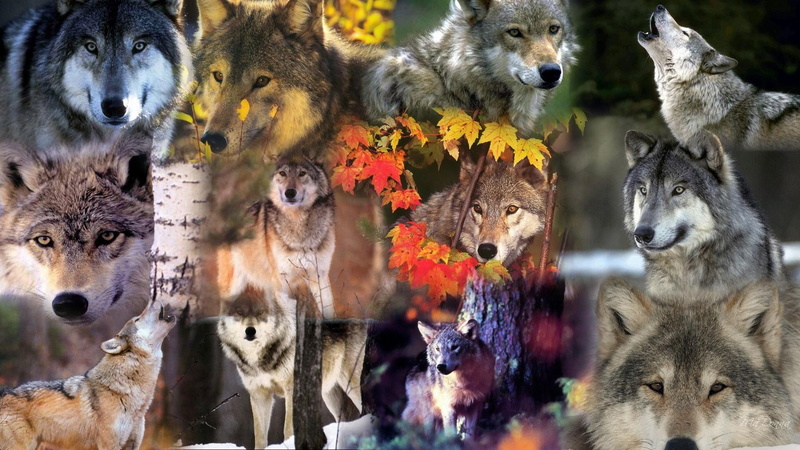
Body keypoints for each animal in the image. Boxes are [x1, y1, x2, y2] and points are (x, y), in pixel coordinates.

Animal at [214, 158, 337, 318]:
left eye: (302, 173)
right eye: (282, 173)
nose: (289, 192)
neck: (298, 224)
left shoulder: (319, 276)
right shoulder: (281, 282)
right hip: (232, 288)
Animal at [217, 289, 367, 447]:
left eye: (261, 312)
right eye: (239, 312)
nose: (250, 330)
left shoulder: (292, 390)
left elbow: (288, 428)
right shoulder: (259, 394)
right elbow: (260, 436)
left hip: (353, 385)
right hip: (330, 395)